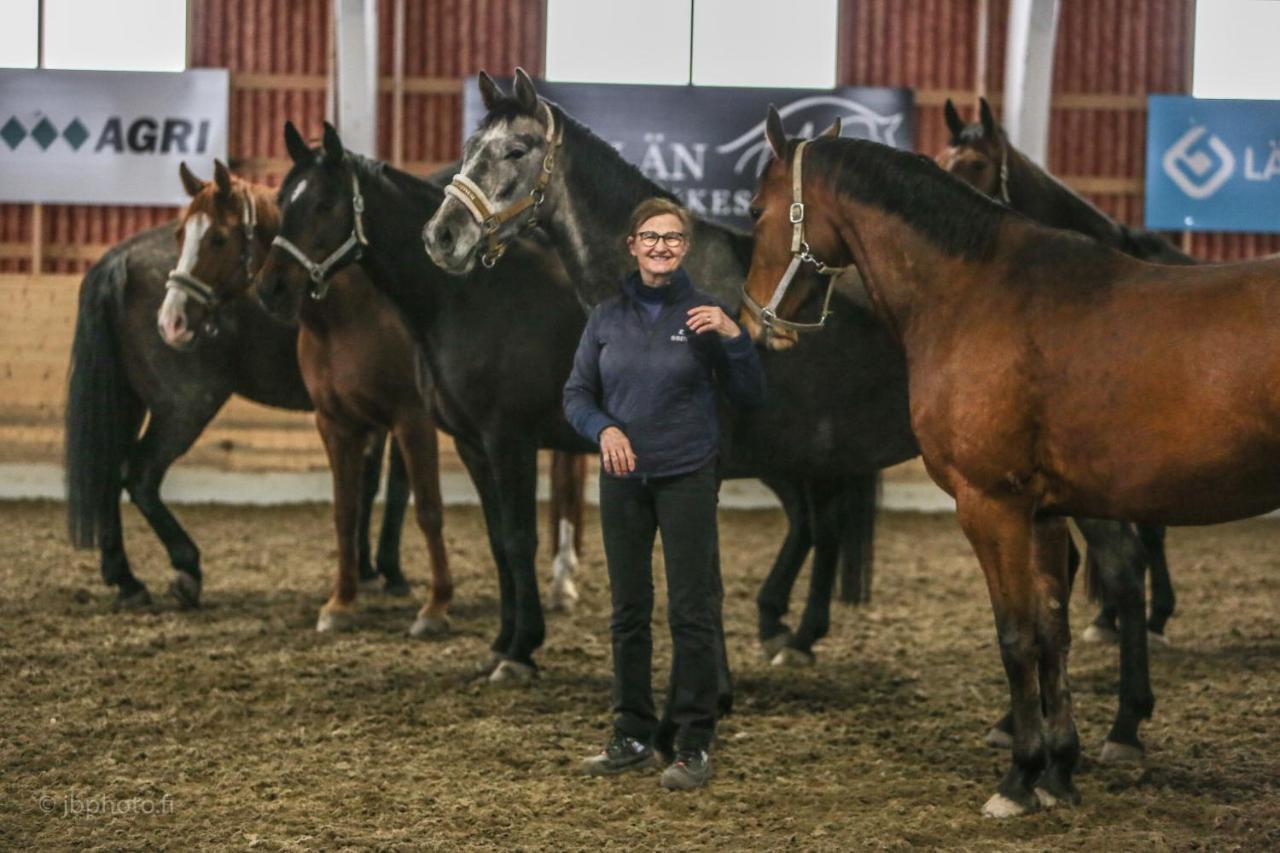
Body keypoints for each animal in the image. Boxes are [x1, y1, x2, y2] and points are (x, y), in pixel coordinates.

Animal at [742, 106, 1280, 809]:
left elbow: (1016, 636)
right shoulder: (1044, 511)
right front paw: (1058, 769)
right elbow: (1052, 631)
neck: (976, 292)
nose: (754, 320)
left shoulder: (990, 504)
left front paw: (1021, 776)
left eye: (756, 209)